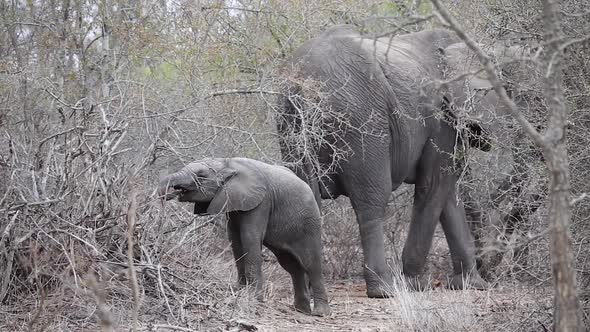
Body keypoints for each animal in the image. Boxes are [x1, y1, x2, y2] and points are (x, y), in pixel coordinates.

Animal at [158, 158, 332, 316]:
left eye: (201, 175)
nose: (166, 194)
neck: (228, 163)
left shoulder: (262, 202)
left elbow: (249, 237)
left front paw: (253, 298)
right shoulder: (234, 202)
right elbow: (235, 240)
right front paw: (239, 292)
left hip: (310, 224)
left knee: (311, 264)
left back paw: (320, 313)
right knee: (291, 266)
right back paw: (301, 310)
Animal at [276, 24, 508, 296]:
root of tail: (304, 85)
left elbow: (449, 192)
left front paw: (471, 285)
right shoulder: (442, 116)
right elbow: (434, 184)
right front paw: (416, 284)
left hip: (291, 123)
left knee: (307, 197)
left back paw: (311, 288)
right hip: (361, 118)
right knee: (372, 199)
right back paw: (384, 289)